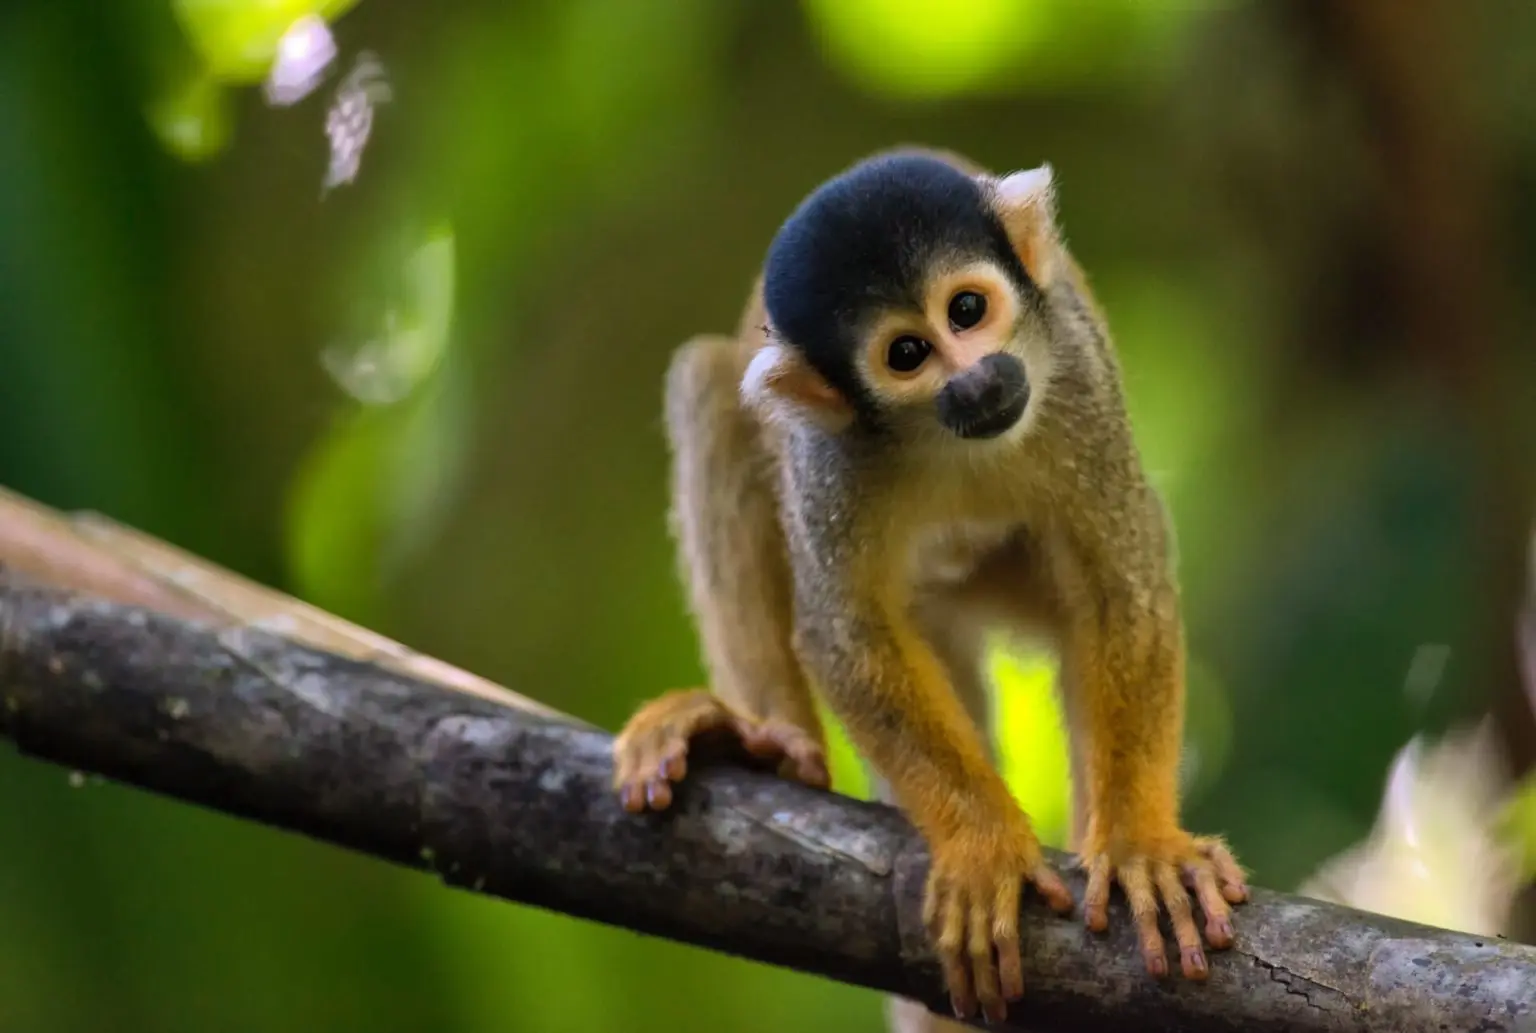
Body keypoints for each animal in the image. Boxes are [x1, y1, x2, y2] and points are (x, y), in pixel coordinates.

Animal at [611, 147, 1249, 1030]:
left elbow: (1124, 586)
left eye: (968, 309)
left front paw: (1141, 845)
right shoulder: (830, 456)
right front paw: (982, 845)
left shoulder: (1076, 379)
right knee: (706, 385)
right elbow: (844, 632)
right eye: (907, 355)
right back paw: (768, 738)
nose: (976, 382)